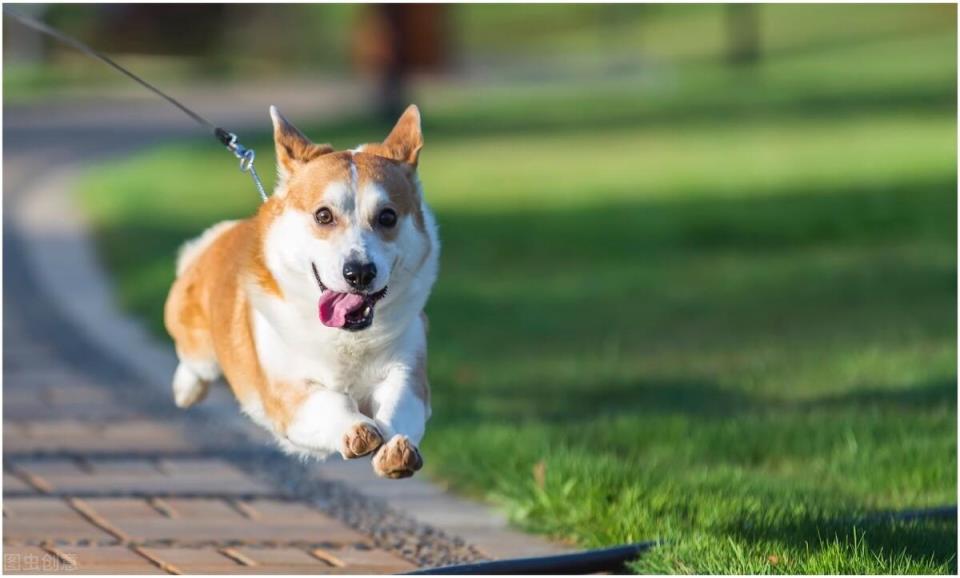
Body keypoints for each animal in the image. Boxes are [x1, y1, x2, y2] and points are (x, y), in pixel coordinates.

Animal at [163, 104, 436, 476]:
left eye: (388, 217)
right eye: (323, 215)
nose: (359, 273)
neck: (346, 339)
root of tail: (218, 237)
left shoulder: (407, 370)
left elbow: (398, 403)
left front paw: (396, 450)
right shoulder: (289, 392)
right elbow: (330, 401)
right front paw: (357, 430)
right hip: (199, 347)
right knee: (192, 362)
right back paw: (186, 389)